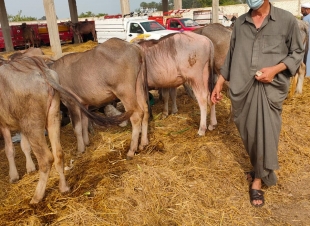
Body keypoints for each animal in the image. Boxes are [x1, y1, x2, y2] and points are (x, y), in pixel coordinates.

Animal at [0, 56, 131, 203]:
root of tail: (42, 72)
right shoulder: (19, 124)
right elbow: (24, 146)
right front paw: (30, 167)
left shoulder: (5, 124)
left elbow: (9, 150)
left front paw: (13, 176)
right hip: (52, 116)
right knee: (58, 153)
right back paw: (64, 187)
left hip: (33, 122)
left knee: (46, 158)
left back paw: (37, 196)